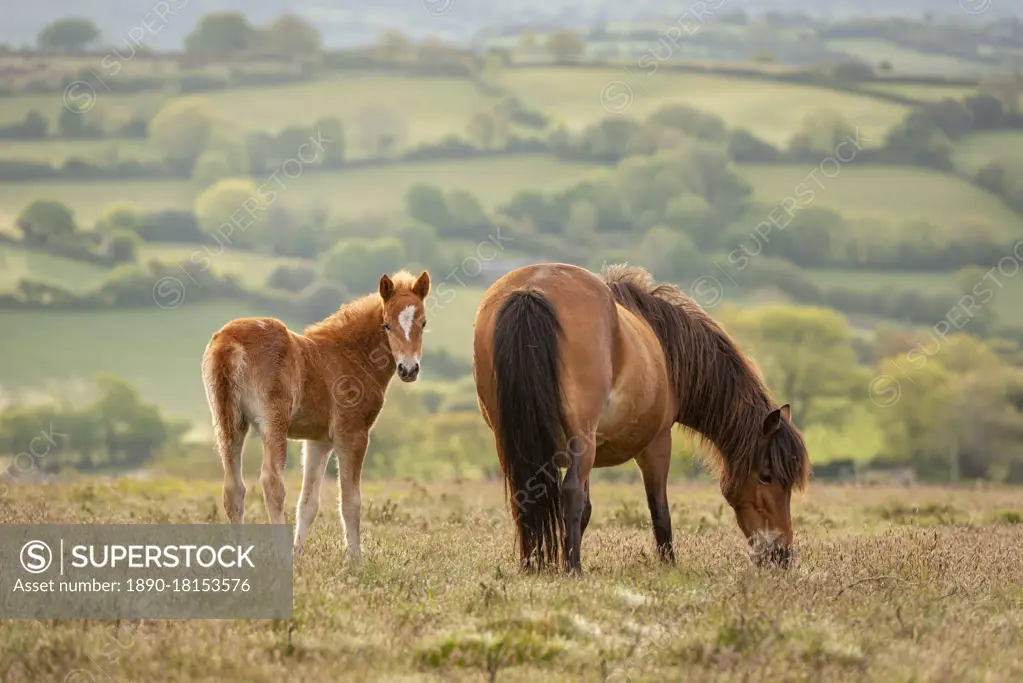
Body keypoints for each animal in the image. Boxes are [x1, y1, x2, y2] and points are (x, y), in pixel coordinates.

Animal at [201, 267, 429, 560]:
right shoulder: (352, 434)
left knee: (234, 488)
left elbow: (308, 503)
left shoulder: (318, 441)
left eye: (423, 323)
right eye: (387, 325)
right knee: (271, 482)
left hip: (229, 422)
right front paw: (356, 560)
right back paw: (281, 556)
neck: (350, 355)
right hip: (273, 422)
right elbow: (351, 501)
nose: (408, 369)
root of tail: (230, 343)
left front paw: (300, 555)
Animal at [468, 263, 806, 572]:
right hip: (582, 440)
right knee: (570, 494)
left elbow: (586, 510)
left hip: (512, 440)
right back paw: (574, 570)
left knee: (524, 495)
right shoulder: (656, 445)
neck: (666, 349)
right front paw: (669, 567)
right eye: (766, 476)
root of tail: (532, 290)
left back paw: (532, 565)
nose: (782, 556)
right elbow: (659, 512)